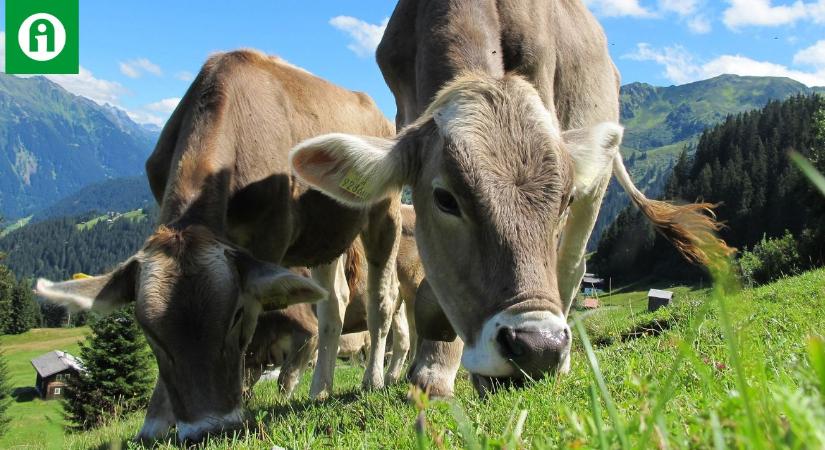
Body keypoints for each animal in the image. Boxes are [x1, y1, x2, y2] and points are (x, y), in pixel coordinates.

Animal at [33, 49, 402, 440]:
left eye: (236, 315)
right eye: (148, 330)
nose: (208, 429)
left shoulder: (269, 240)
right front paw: (156, 422)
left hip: (384, 212)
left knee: (382, 299)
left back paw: (372, 379)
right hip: (324, 236)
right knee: (334, 304)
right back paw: (320, 389)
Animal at [290, 1, 728, 400]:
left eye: (563, 199)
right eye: (445, 199)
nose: (539, 348)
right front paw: (434, 370)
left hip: (598, 181)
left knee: (573, 264)